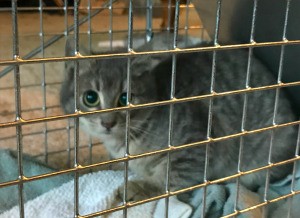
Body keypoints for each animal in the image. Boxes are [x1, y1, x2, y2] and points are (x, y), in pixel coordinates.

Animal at [60, 39, 298, 198]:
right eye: (90, 97)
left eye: (125, 98)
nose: (108, 123)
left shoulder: (195, 143)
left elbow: (170, 178)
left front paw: (140, 188)